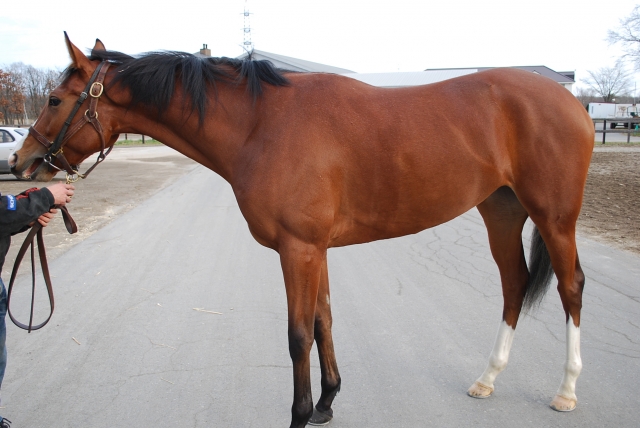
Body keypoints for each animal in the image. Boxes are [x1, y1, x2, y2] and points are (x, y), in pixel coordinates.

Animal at [10, 35, 596, 426]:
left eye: (56, 100)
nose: (23, 161)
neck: (261, 125)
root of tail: (571, 101)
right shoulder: (317, 250)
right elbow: (324, 322)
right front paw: (328, 403)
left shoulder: (299, 250)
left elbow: (297, 336)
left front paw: (299, 412)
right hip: (501, 211)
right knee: (515, 284)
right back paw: (487, 379)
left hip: (555, 218)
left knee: (571, 288)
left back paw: (567, 390)